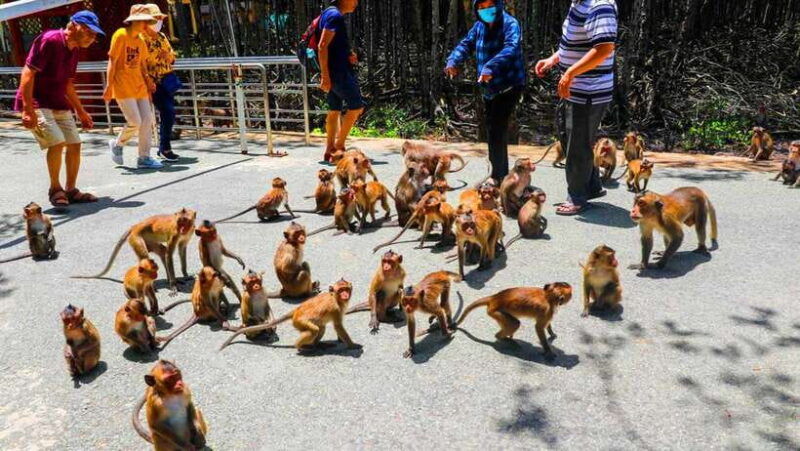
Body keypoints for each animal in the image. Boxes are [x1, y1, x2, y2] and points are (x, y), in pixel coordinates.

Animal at [220, 278, 362, 352]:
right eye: (341, 290)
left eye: (346, 289)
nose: (345, 295)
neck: (336, 298)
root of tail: (297, 309)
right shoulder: (336, 309)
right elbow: (338, 326)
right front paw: (352, 345)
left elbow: (338, 327)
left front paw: (340, 340)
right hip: (299, 321)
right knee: (314, 330)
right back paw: (300, 347)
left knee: (321, 328)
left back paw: (317, 345)